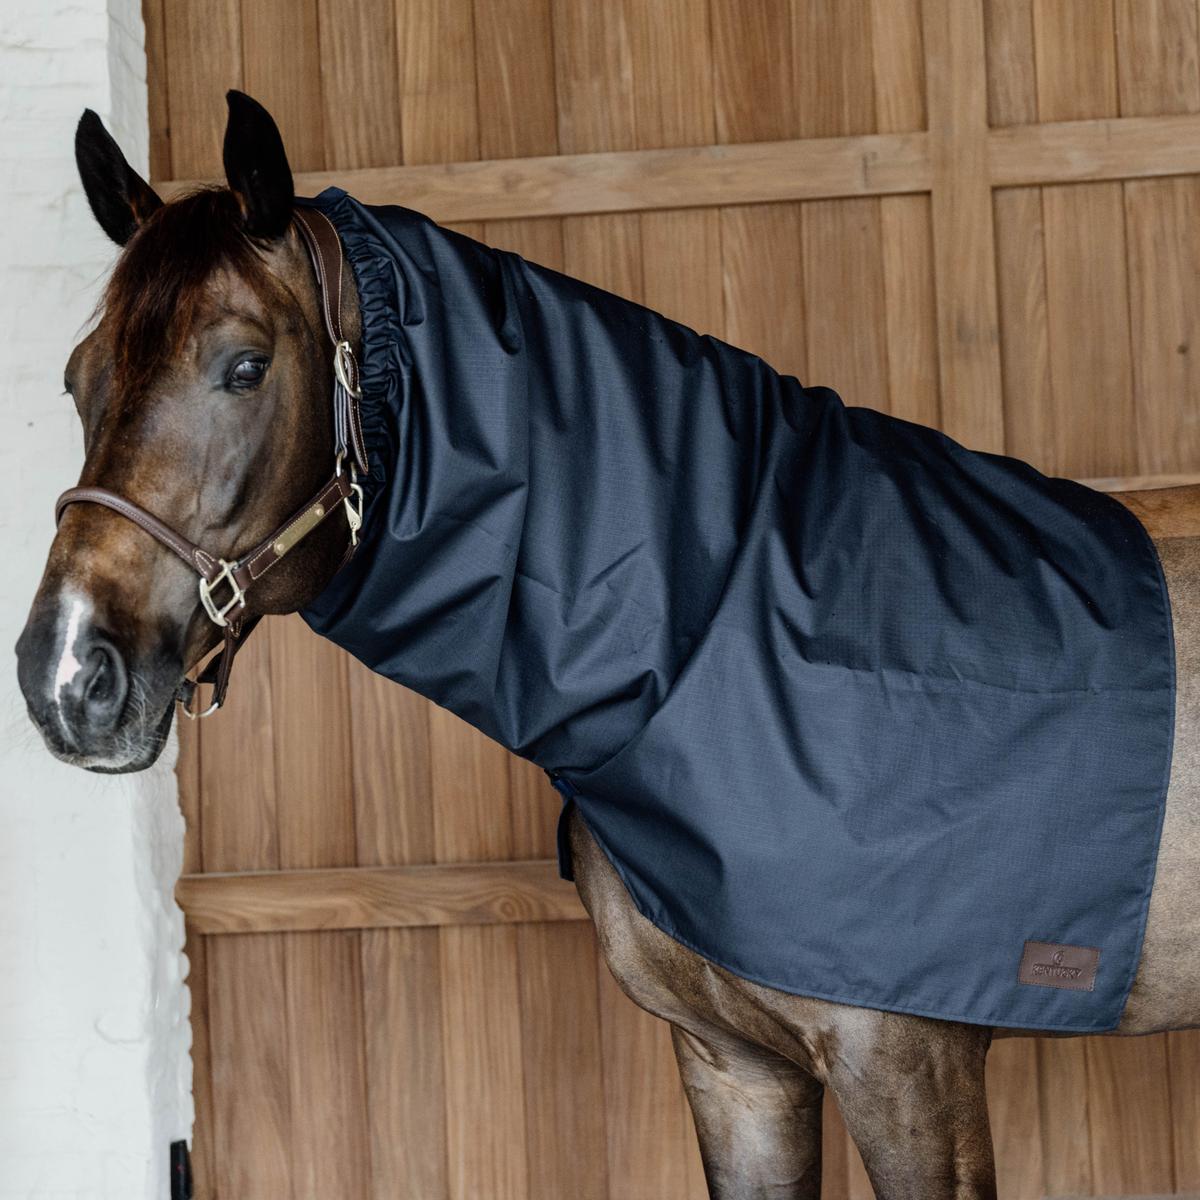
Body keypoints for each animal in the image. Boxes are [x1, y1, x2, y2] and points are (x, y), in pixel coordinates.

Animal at [16, 91, 1200, 1200]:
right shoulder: (735, 1070)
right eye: (78, 378)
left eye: (246, 367)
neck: (722, 627)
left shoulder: (912, 1073)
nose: (65, 672)